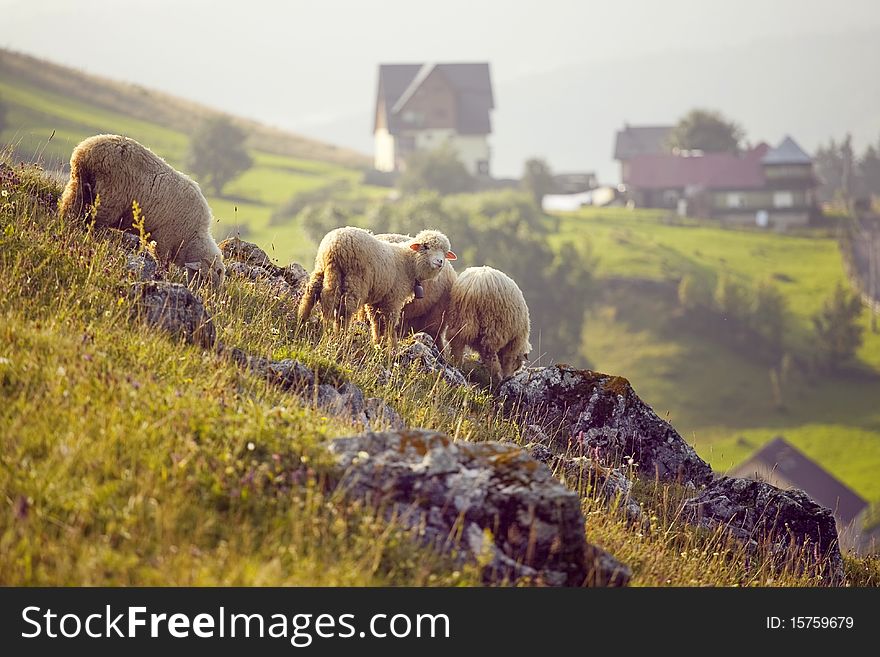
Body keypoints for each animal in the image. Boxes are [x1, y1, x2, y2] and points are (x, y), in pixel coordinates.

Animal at [58, 133, 223, 284]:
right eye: (206, 278)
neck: (192, 237)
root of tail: (85, 150)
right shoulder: (164, 239)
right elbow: (163, 262)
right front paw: (163, 276)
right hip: (108, 198)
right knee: (94, 224)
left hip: (79, 184)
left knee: (70, 208)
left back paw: (66, 226)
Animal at [300, 226, 458, 344]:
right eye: (425, 246)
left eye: (445, 253)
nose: (440, 262)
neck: (408, 263)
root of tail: (334, 245)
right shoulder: (394, 299)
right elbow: (390, 323)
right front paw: (392, 347)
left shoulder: (376, 300)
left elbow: (376, 321)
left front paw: (377, 342)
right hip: (355, 279)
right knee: (345, 309)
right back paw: (340, 335)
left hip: (323, 269)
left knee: (311, 295)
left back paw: (302, 321)